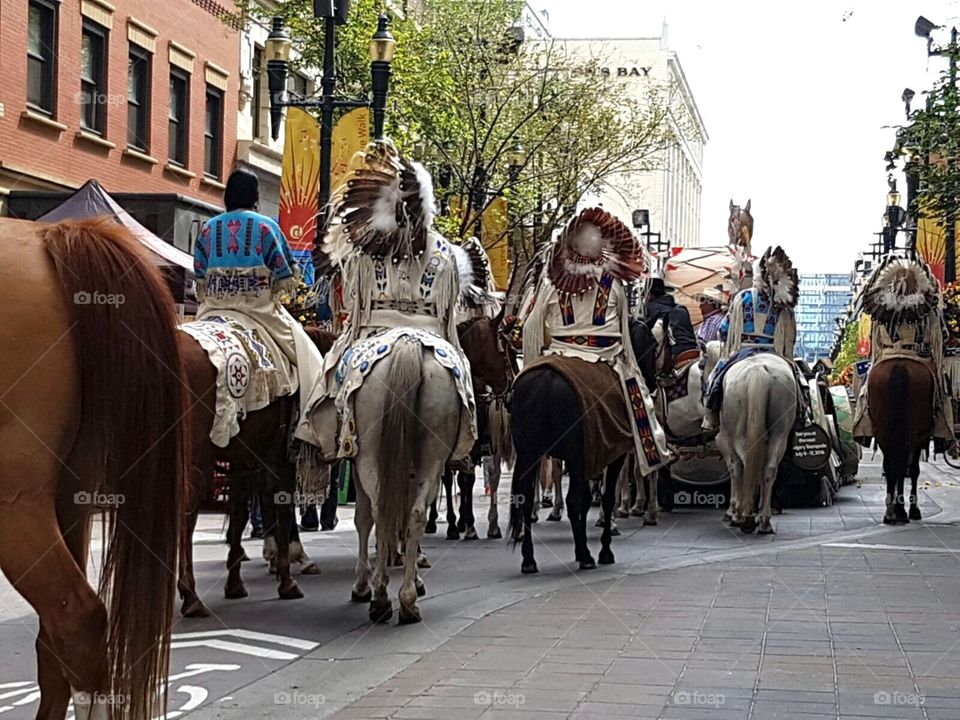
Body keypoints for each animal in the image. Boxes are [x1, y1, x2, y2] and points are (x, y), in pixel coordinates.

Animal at [176, 322, 338, 620]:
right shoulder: (281, 462)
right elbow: (282, 511)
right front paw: (287, 578)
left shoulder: (244, 464)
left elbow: (240, 515)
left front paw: (235, 582)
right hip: (195, 460)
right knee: (186, 516)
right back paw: (191, 596)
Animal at [700, 348, 800, 536]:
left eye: (701, 365)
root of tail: (758, 370)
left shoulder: (723, 439)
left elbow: (734, 470)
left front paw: (733, 510)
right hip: (780, 433)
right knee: (768, 469)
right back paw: (764, 521)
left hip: (738, 434)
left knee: (746, 465)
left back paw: (744, 517)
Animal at [868, 358, 932, 524]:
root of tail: (899, 366)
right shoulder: (919, 438)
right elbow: (914, 470)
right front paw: (913, 509)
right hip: (910, 430)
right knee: (902, 466)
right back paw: (900, 510)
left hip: (883, 429)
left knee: (891, 465)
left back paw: (890, 512)